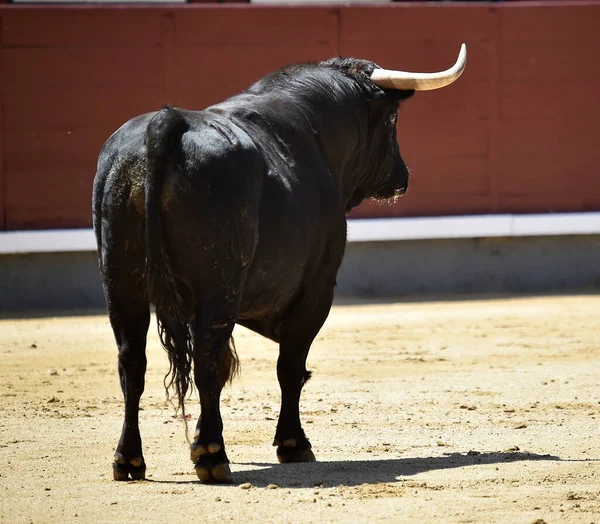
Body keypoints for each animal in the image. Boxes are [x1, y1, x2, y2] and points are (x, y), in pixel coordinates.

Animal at [95, 56, 422, 484]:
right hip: (217, 282)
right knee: (207, 356)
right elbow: (291, 367)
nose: (403, 175)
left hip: (120, 278)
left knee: (132, 360)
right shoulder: (317, 289)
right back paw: (212, 455)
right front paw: (293, 444)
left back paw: (129, 459)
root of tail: (166, 122)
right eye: (392, 120)